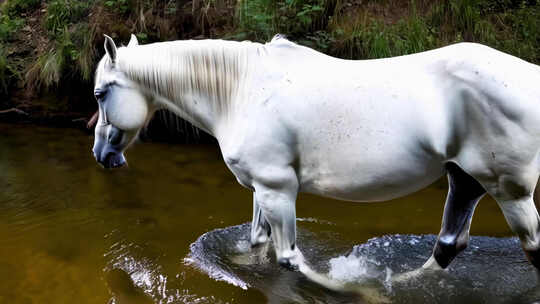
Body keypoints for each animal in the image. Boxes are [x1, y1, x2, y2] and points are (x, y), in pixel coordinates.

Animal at [90, 33, 540, 278]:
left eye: (99, 93)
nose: (101, 153)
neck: (241, 91)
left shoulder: (277, 190)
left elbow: (291, 261)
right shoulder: (263, 189)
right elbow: (258, 244)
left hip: (510, 192)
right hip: (465, 180)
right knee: (447, 246)